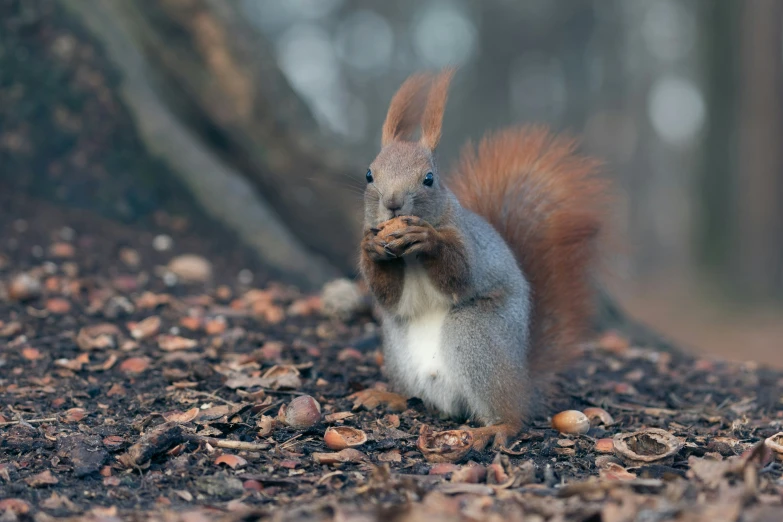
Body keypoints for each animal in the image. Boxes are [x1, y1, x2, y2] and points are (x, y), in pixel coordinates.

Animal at [356, 67, 608, 444]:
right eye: (370, 174)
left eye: (429, 178)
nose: (393, 203)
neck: (409, 257)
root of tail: (523, 381)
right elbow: (389, 296)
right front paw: (370, 248)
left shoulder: (468, 243)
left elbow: (460, 274)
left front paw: (427, 238)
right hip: (398, 348)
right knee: (415, 396)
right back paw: (386, 396)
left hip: (475, 333)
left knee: (511, 417)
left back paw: (493, 429)